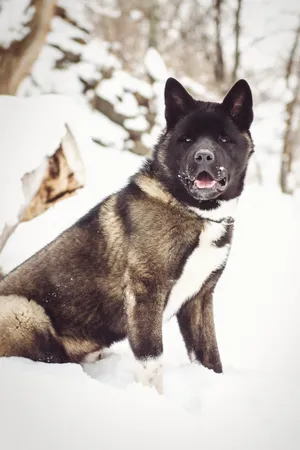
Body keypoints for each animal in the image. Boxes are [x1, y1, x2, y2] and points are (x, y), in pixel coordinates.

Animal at [0, 77, 253, 394]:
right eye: (187, 139)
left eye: (223, 139)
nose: (203, 156)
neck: (195, 212)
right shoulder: (146, 292)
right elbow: (151, 362)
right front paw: (152, 401)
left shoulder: (199, 299)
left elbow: (210, 357)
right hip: (23, 312)